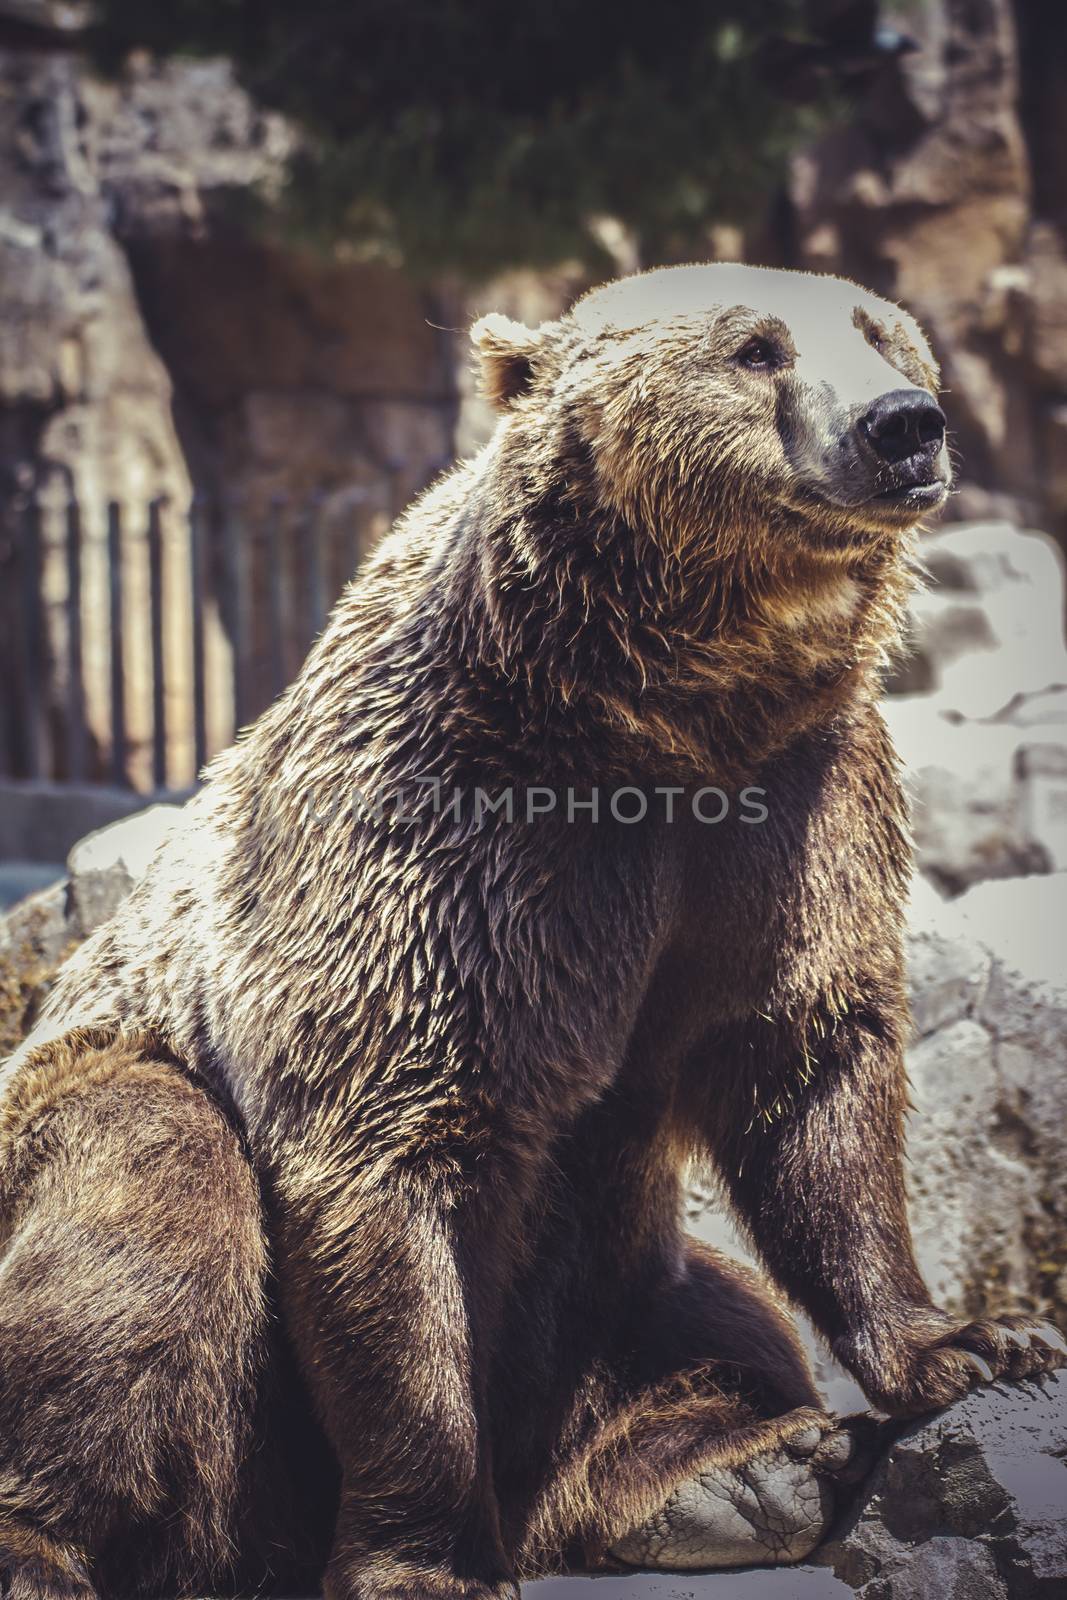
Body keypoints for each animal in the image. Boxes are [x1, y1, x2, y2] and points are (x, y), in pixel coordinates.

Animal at [2, 265, 1067, 1600]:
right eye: (755, 349)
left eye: (882, 333)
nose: (903, 424)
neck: (670, 716)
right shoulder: (453, 837)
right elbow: (394, 1160)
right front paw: (429, 1559)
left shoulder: (795, 810)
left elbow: (808, 1072)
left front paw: (981, 1336)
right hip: (79, 1130)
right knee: (145, 1201)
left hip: (622, 1268)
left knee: (713, 1311)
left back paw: (736, 1470)